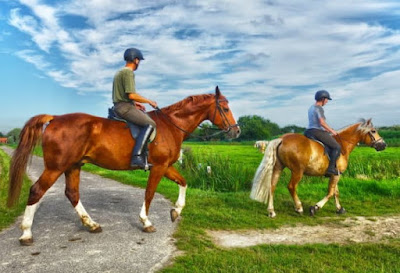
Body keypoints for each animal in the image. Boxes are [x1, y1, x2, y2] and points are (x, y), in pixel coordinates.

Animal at [8, 85, 241, 244]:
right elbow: (149, 193)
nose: (236, 131)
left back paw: (91, 224)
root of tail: (55, 118)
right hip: (56, 167)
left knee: (72, 193)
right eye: (225, 107)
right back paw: (26, 233)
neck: (171, 125)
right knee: (37, 190)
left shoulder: (166, 166)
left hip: (73, 166)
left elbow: (183, 183)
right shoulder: (159, 167)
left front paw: (176, 211)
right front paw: (146, 222)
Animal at [252, 119, 386, 217]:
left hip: (278, 168)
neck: (343, 145)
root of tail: (282, 138)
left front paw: (339, 209)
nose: (383, 145)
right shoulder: (336, 175)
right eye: (373, 131)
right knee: (291, 187)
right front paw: (315, 208)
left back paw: (271, 211)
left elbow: (336, 192)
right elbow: (330, 193)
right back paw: (299, 208)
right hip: (297, 171)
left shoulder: (335, 174)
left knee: (272, 186)